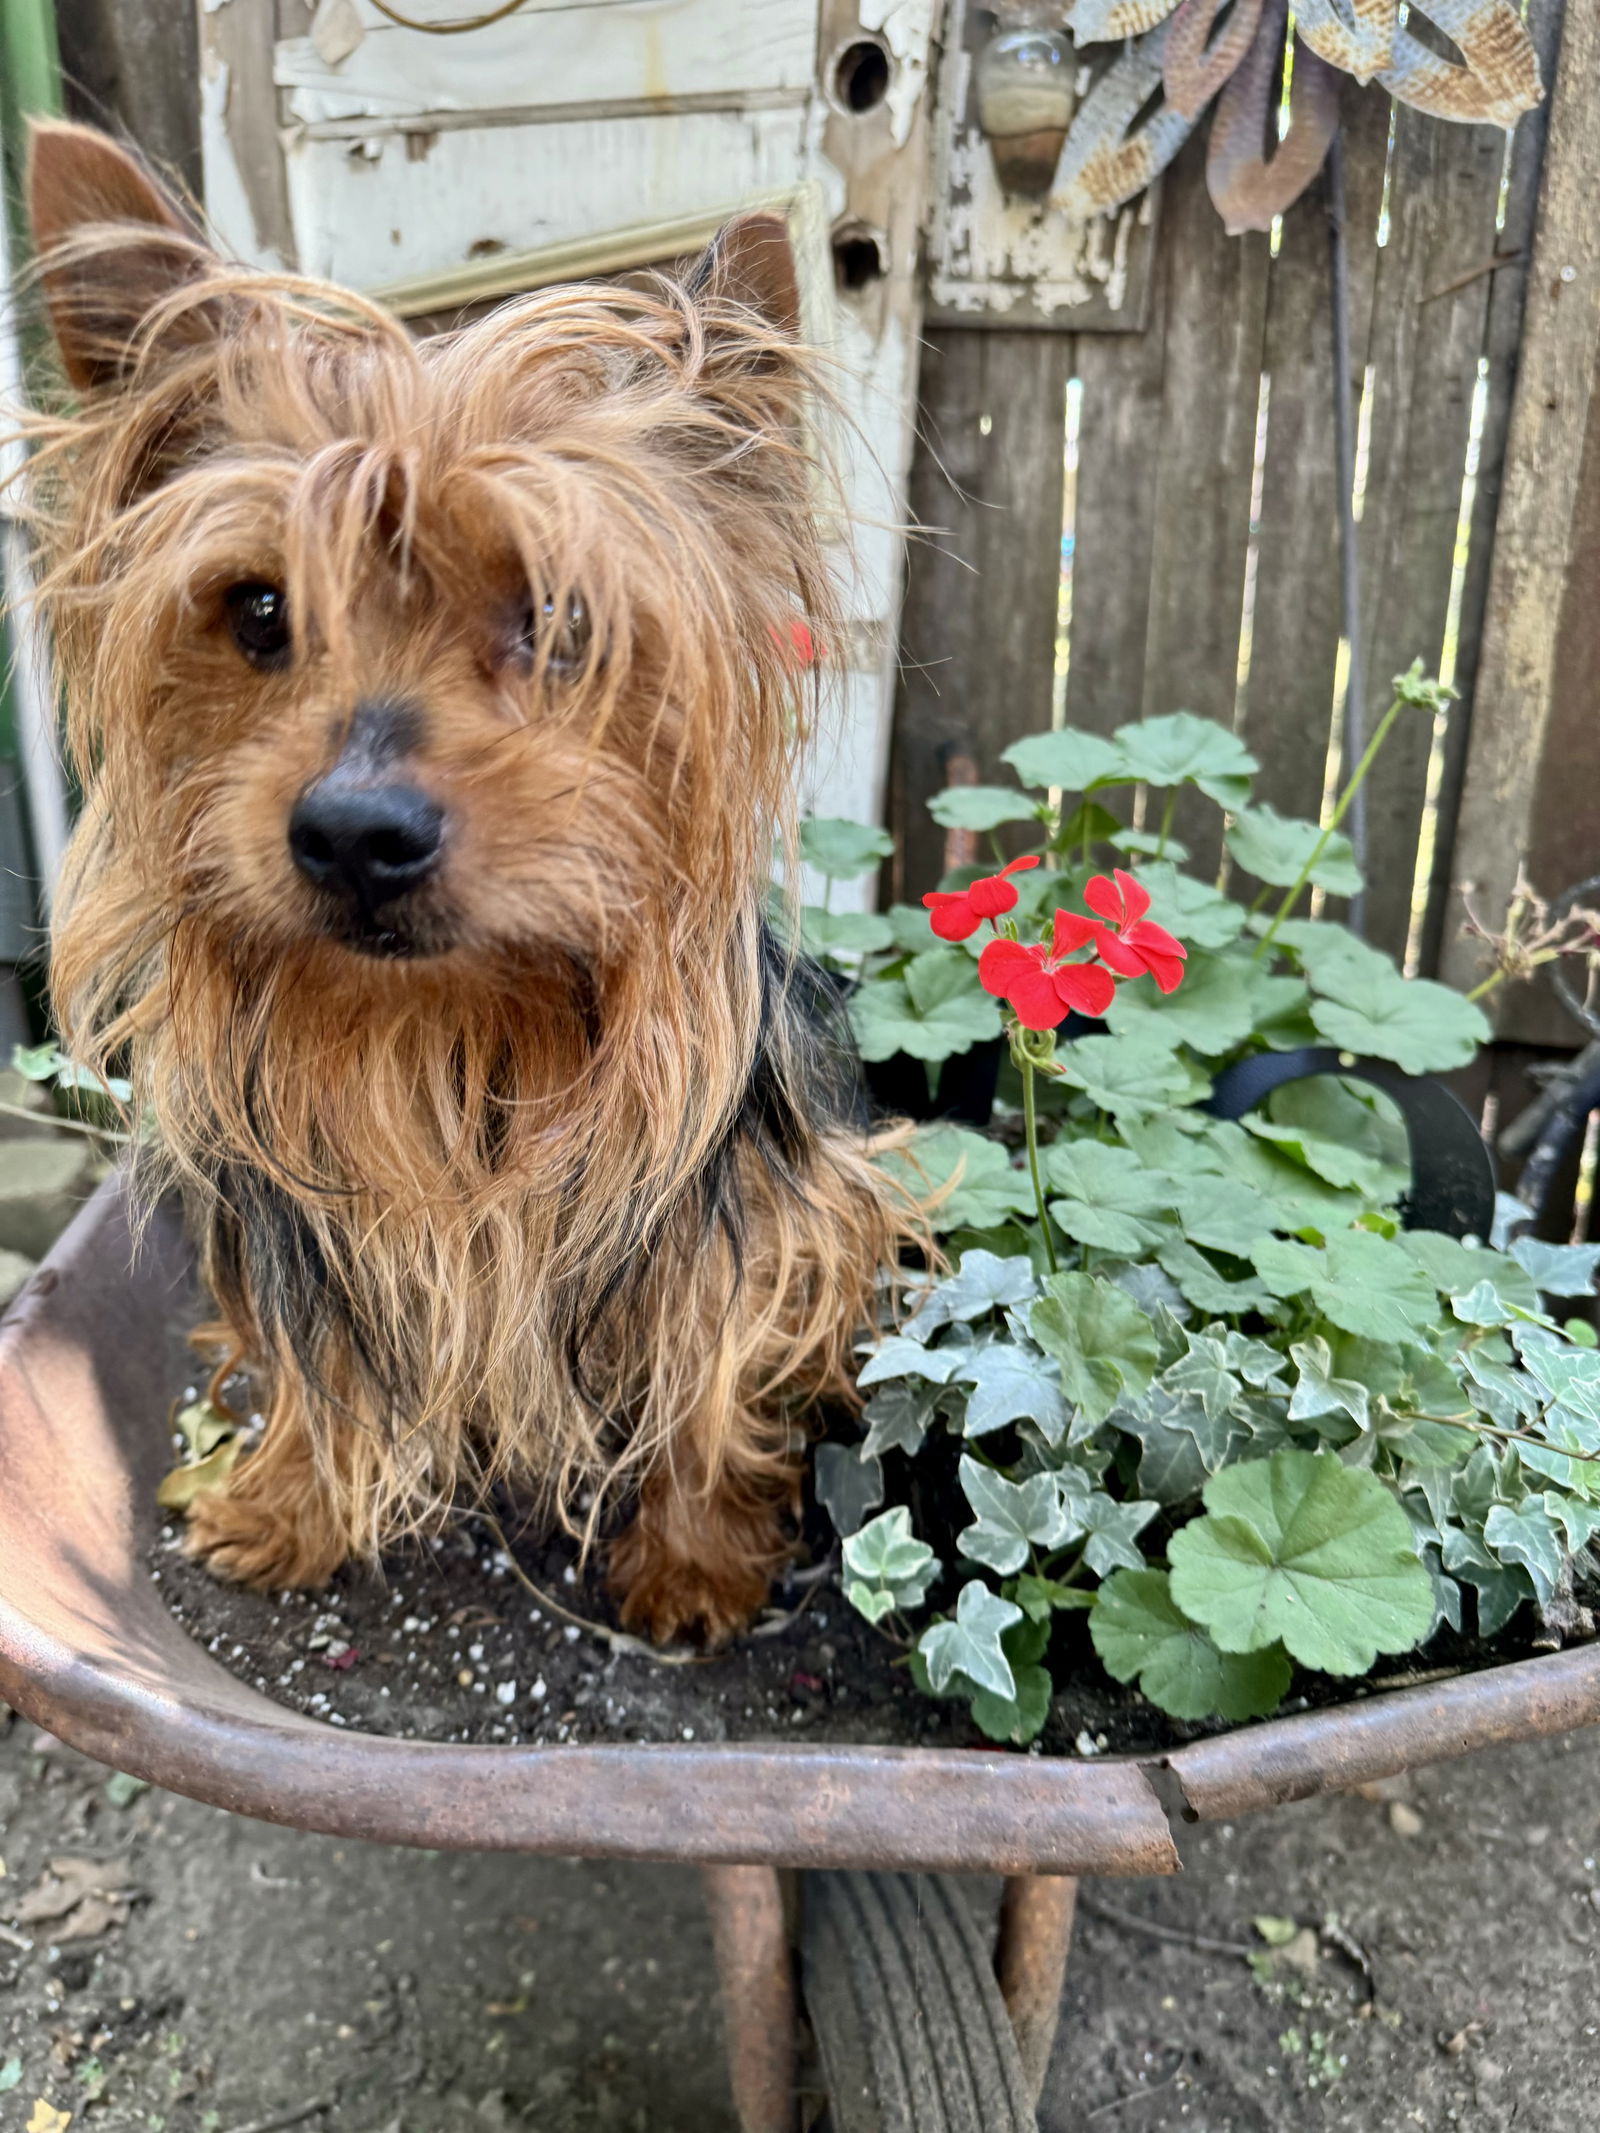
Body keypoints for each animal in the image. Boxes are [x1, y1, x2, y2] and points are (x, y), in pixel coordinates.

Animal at [21, 116, 913, 1638]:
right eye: (260, 609)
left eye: (556, 617)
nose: (352, 832)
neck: (442, 1024)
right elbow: (315, 1357)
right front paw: (291, 1503)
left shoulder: (744, 1216)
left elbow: (710, 1348)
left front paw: (694, 1559)